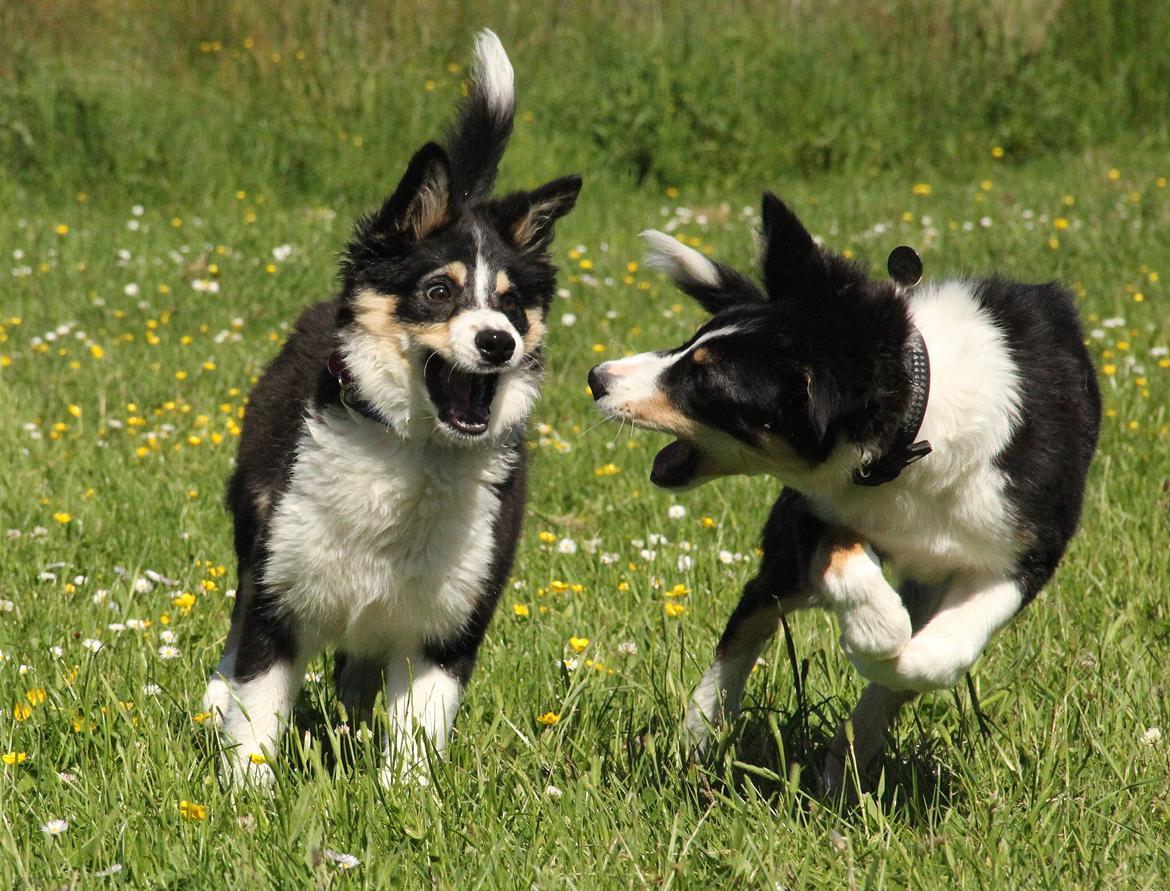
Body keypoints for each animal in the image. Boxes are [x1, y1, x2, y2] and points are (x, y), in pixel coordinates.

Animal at [203, 31, 582, 781]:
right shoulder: (279, 594)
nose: (498, 342)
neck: (414, 453)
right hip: (254, 530)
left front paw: (404, 796)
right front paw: (242, 800)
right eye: (438, 291)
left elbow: (417, 737)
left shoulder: (449, 621)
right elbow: (255, 717)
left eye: (511, 304)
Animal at [589, 194, 1099, 790]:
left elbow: (938, 655)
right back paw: (701, 731)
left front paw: (891, 665)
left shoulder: (1026, 551)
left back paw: (847, 756)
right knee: (753, 612)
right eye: (692, 343)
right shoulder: (815, 510)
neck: (919, 419)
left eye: (705, 385)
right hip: (785, 553)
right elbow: (848, 568)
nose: (596, 378)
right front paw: (874, 631)